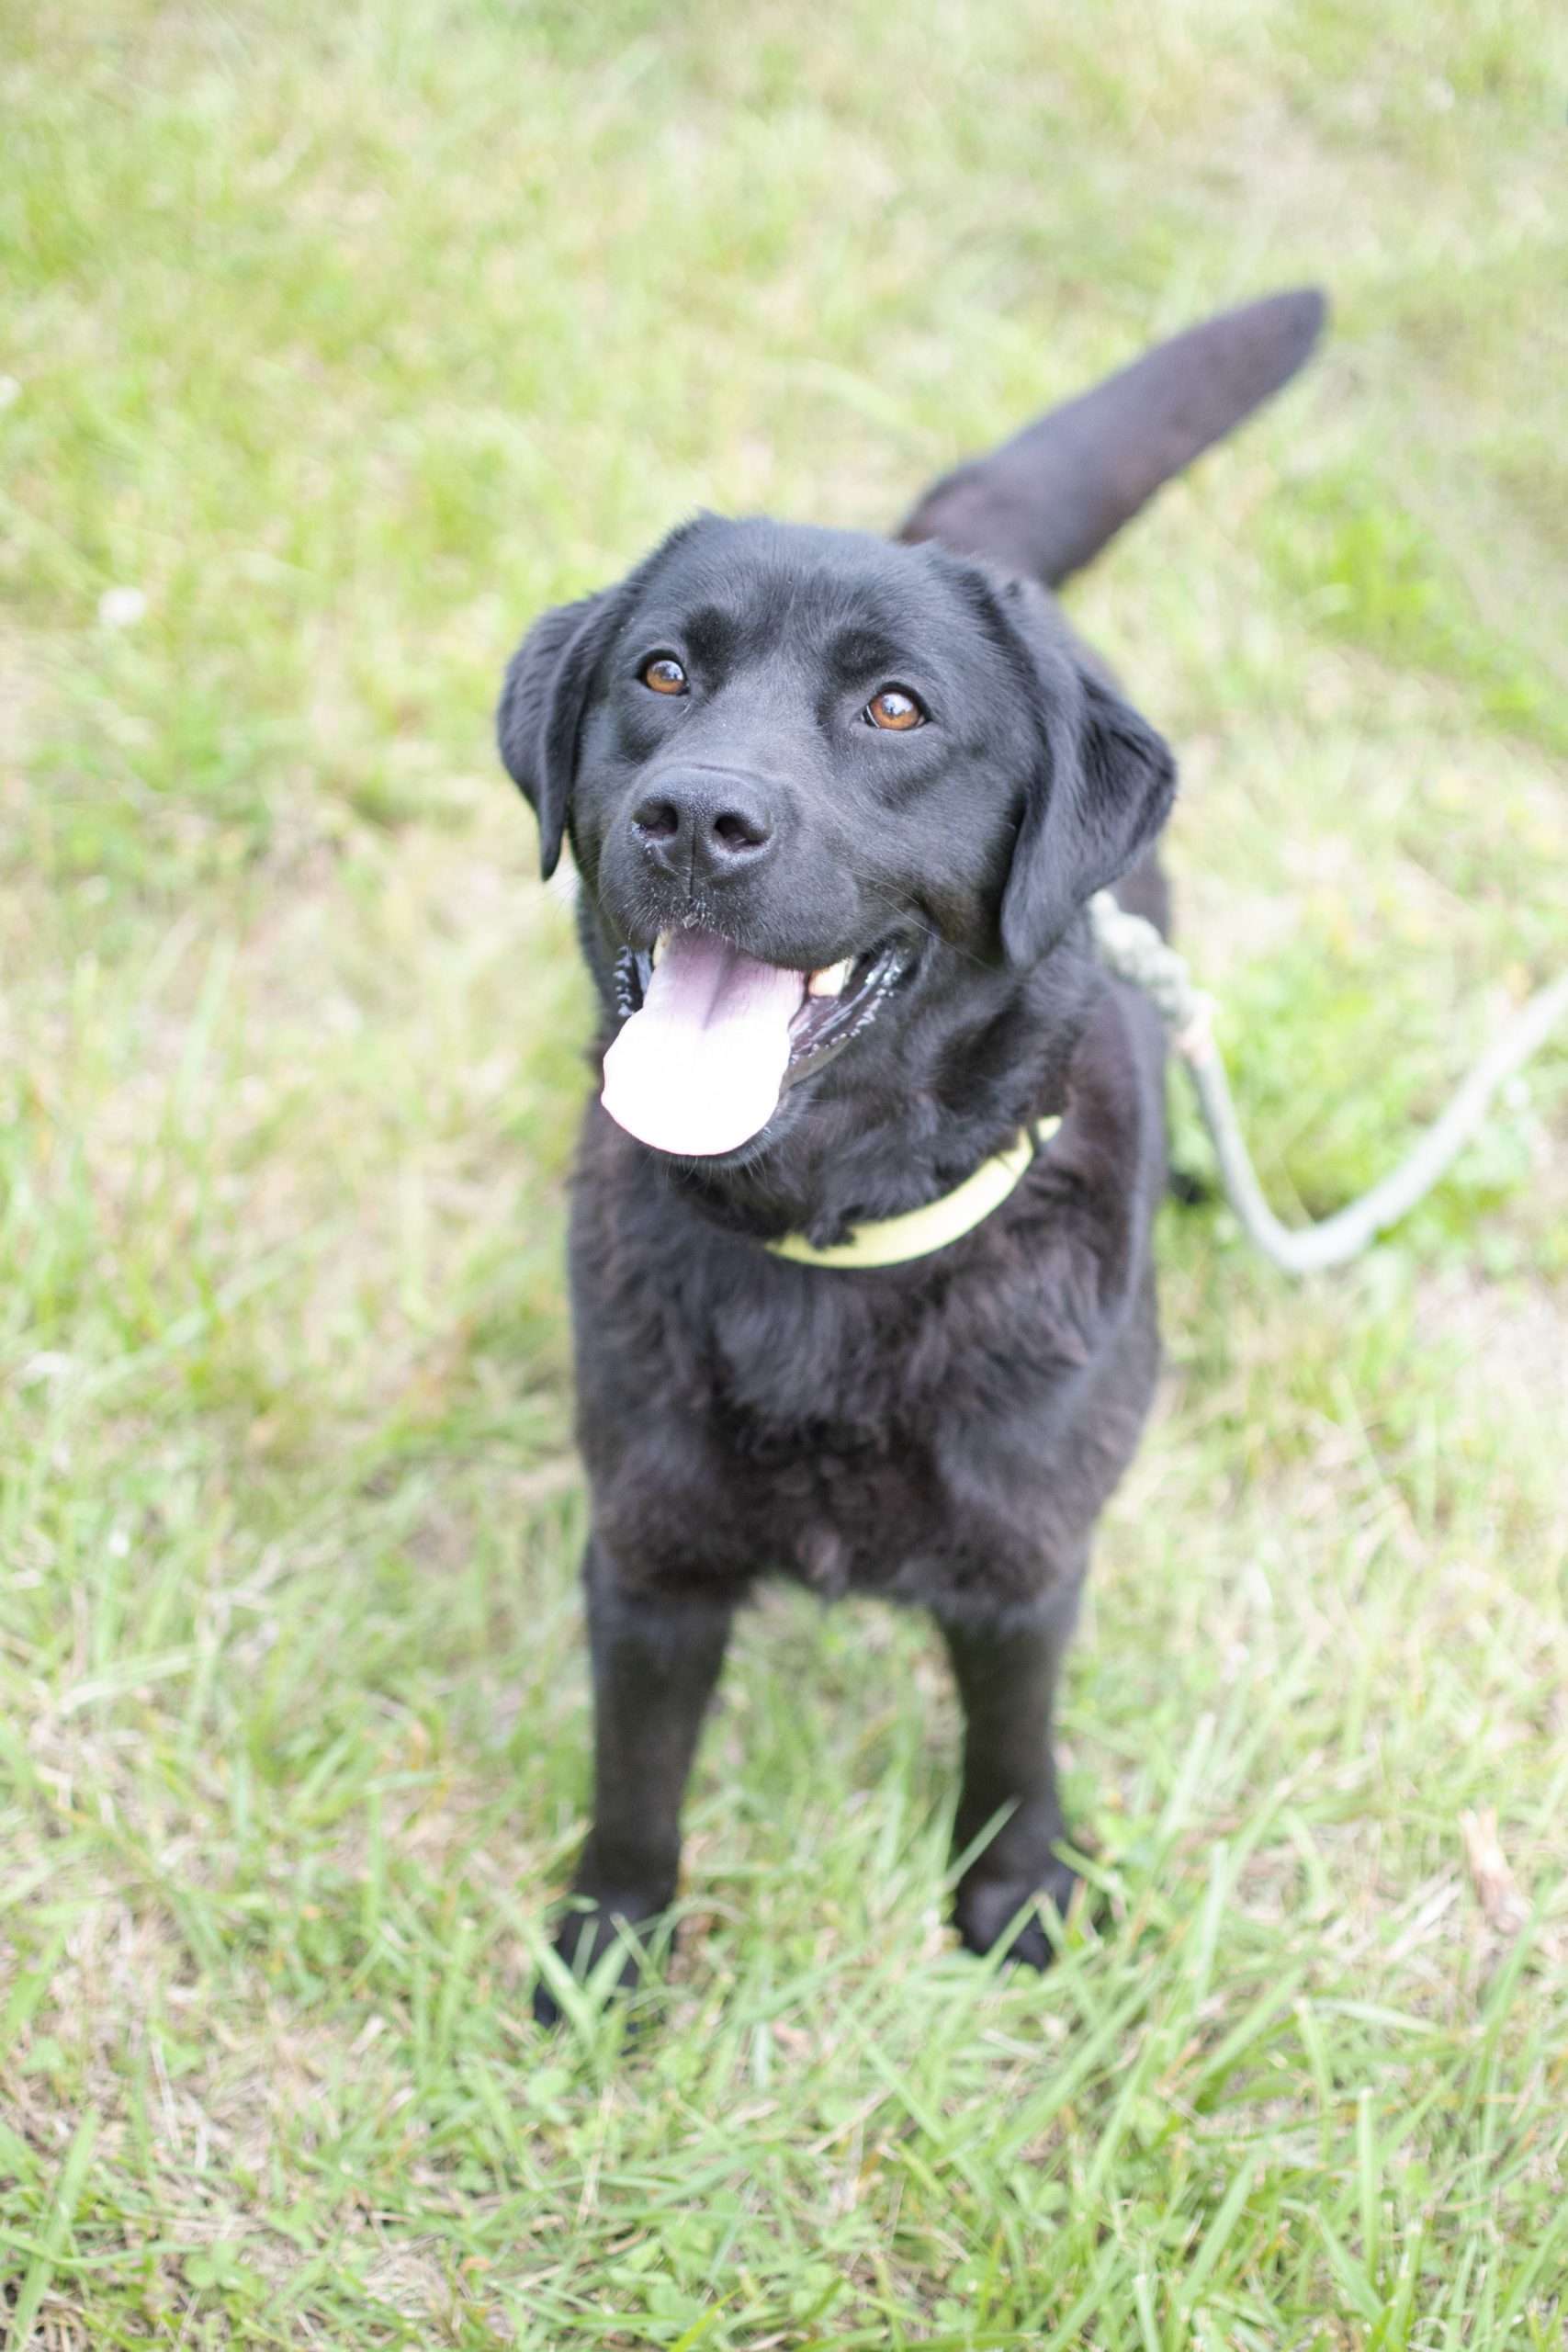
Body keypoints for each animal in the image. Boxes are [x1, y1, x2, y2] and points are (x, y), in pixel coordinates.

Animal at [502, 284, 1325, 2013]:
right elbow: (634, 1777)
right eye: (662, 674)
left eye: (895, 709)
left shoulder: (1025, 1565)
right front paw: (610, 1948)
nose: (696, 818)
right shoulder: (647, 1565)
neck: (826, 1241)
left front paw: (1016, 1895)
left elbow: (1013, 1745)